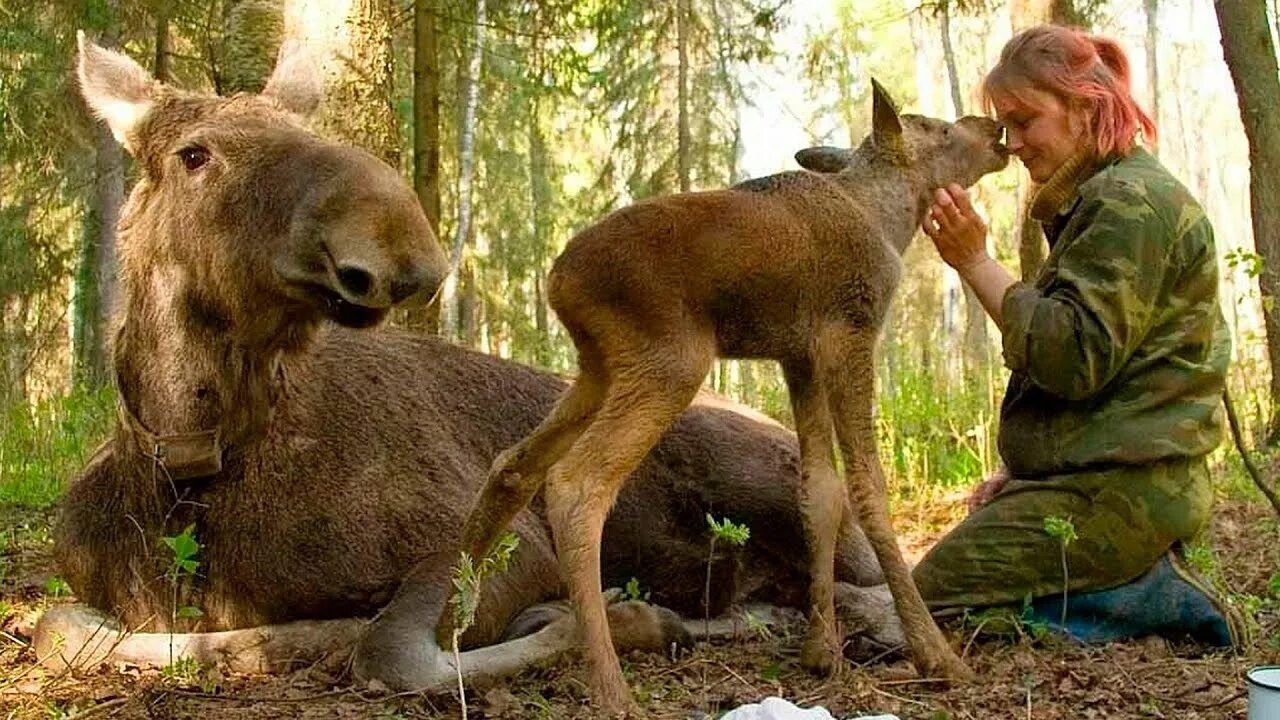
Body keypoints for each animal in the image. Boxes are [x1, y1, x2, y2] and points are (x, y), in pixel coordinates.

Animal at [37, 35, 890, 691]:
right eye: (195, 154)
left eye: (312, 133)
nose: (399, 246)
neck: (195, 468)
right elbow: (67, 629)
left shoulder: (497, 543)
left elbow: (387, 647)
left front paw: (617, 617)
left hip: (764, 479)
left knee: (868, 578)